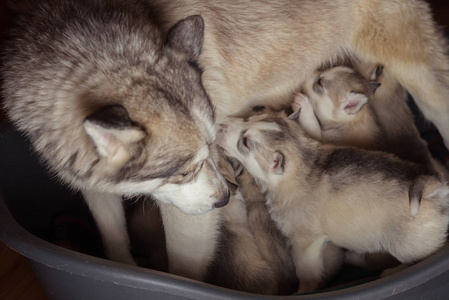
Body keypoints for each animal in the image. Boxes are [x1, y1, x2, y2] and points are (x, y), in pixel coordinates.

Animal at [216, 115, 448, 292]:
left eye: (245, 143)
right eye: (249, 119)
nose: (221, 125)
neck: (302, 159)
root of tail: (433, 187)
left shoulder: (305, 241)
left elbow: (307, 270)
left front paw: (305, 290)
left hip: (404, 245)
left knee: (413, 260)